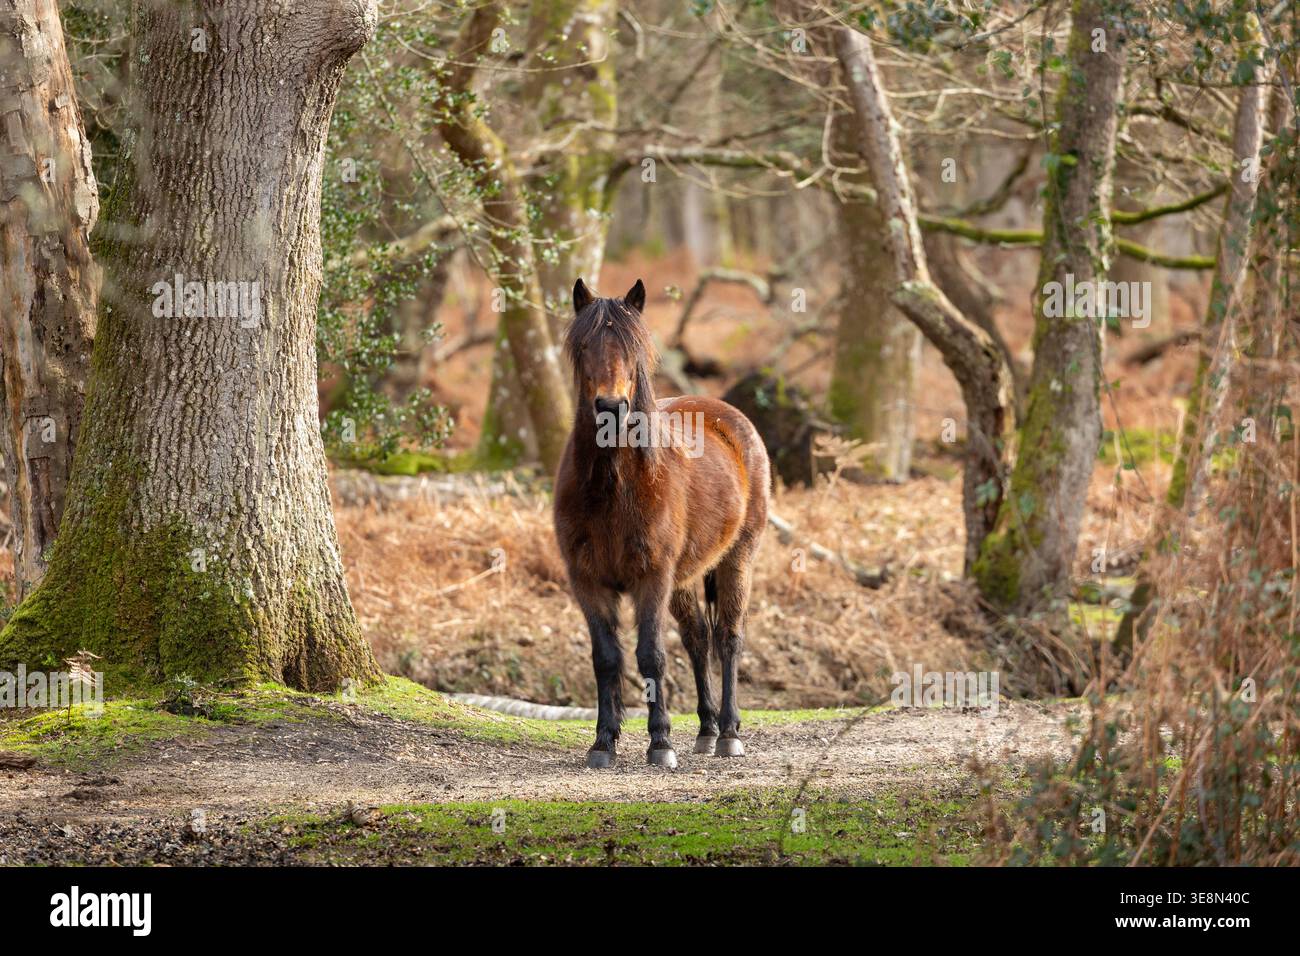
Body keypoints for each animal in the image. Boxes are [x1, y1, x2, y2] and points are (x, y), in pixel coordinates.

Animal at [553, 277, 771, 769]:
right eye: (584, 345)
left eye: (633, 347)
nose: (610, 405)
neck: (616, 488)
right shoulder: (587, 580)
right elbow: (607, 658)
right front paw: (603, 743)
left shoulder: (651, 577)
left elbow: (651, 656)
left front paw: (660, 743)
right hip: (685, 580)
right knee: (697, 639)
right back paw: (706, 730)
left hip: (737, 560)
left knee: (728, 637)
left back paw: (728, 733)